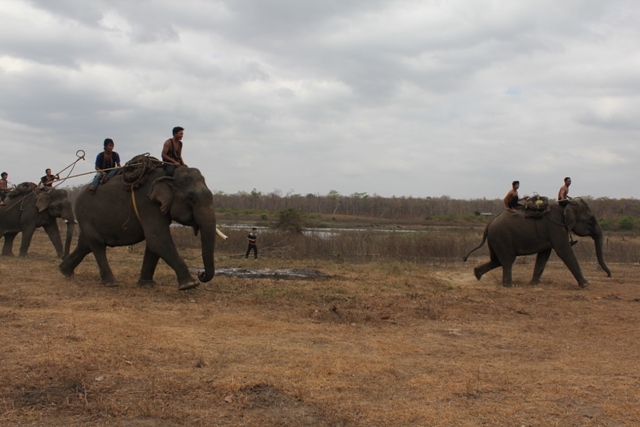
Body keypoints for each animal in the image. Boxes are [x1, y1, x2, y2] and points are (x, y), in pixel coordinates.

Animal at [59, 165, 218, 290]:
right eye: (191, 198)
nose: (201, 274)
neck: (170, 174)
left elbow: (154, 243)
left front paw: (146, 284)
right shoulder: (148, 203)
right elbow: (157, 238)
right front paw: (190, 285)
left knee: (85, 244)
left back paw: (64, 271)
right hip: (84, 214)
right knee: (97, 244)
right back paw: (111, 283)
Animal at [464, 199, 608, 290]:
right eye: (591, 220)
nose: (608, 275)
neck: (566, 206)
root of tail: (489, 224)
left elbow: (544, 254)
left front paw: (534, 284)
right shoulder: (556, 228)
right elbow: (564, 251)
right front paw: (586, 284)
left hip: (495, 239)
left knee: (497, 260)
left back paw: (477, 274)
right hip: (502, 237)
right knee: (508, 260)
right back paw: (509, 285)